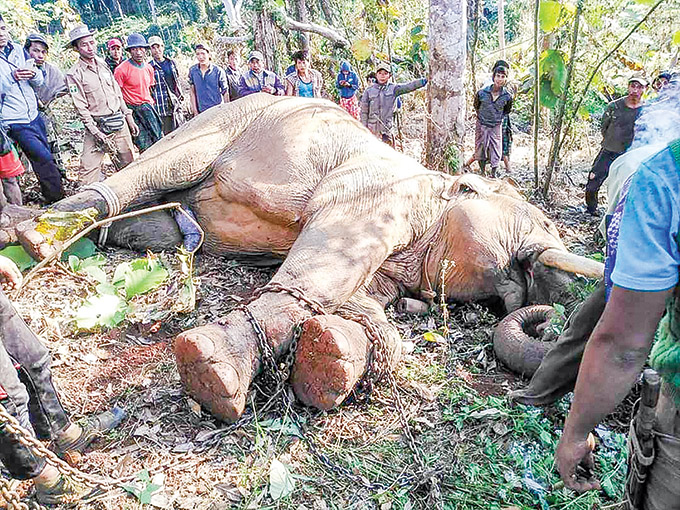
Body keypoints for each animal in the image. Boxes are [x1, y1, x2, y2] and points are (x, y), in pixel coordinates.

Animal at [13, 92, 604, 422]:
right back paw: (37, 237)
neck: (436, 189)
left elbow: (365, 299)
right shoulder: (375, 192)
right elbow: (326, 263)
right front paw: (213, 375)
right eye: (545, 226)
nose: (548, 309)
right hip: (216, 123)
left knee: (152, 224)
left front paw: (332, 358)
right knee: (153, 171)